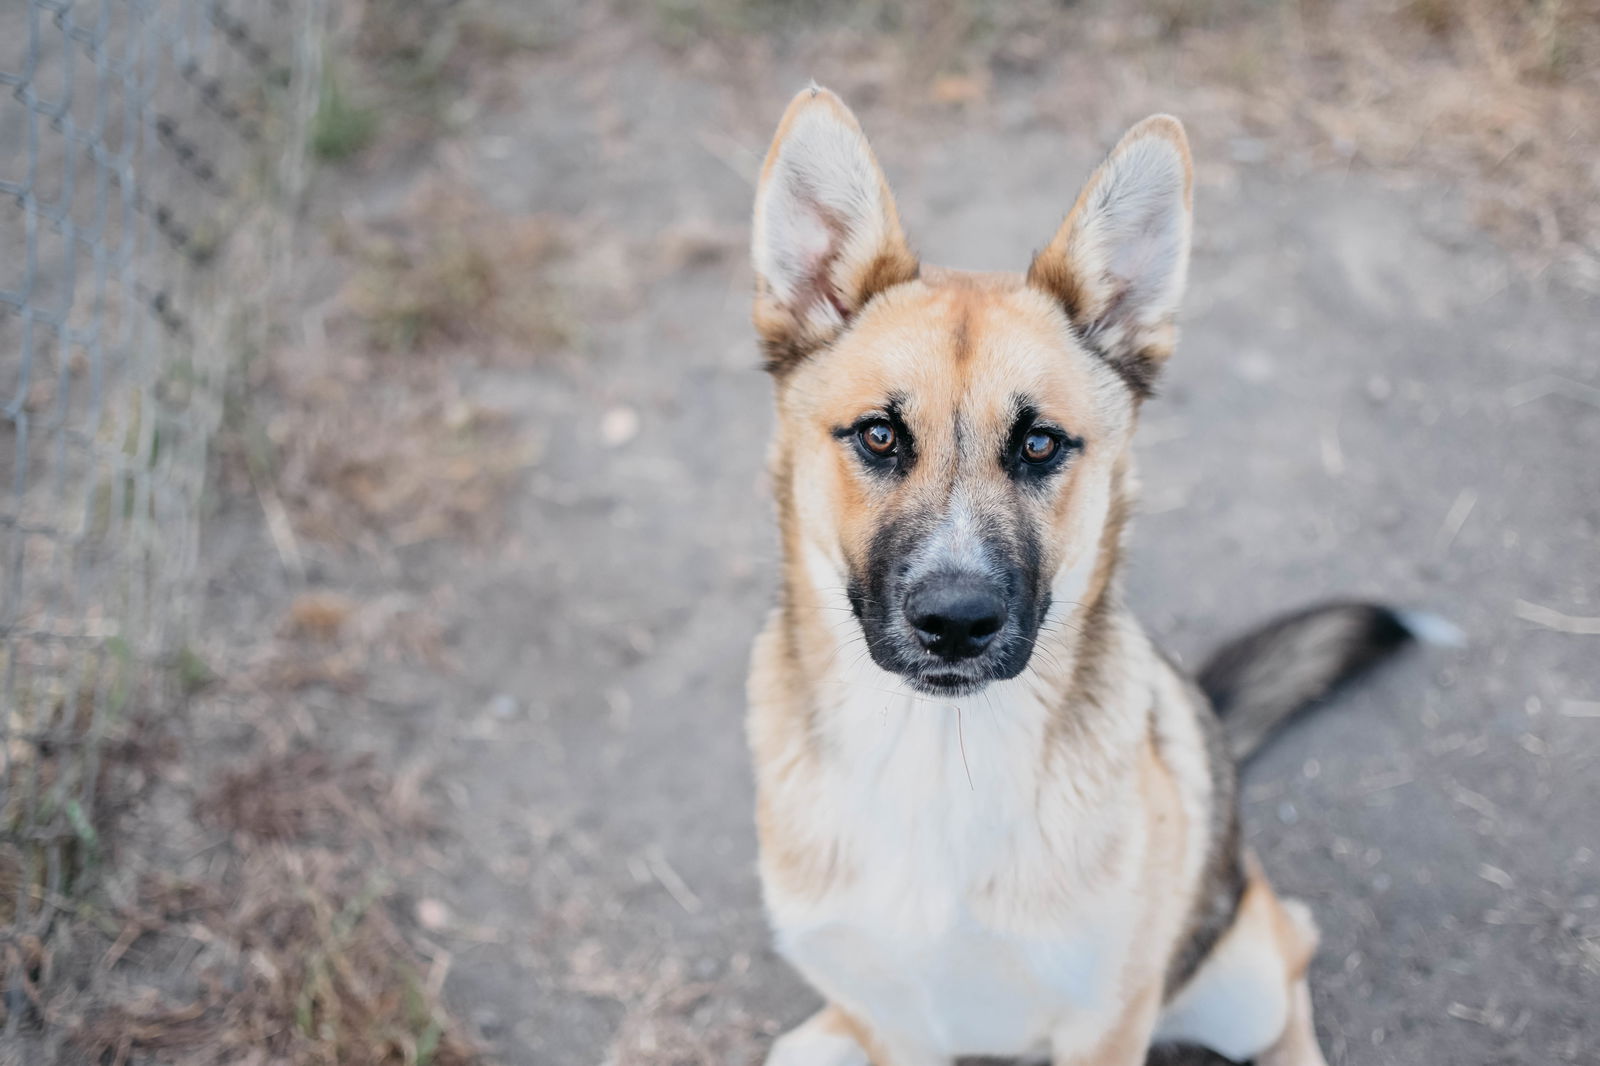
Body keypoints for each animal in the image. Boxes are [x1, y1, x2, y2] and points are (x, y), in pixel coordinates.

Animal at [739, 85, 1427, 1062]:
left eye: (1040, 444)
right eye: (878, 435)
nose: (956, 623)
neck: (937, 753)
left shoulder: (1107, 1023)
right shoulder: (899, 1021)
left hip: (1246, 981)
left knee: (1294, 950)